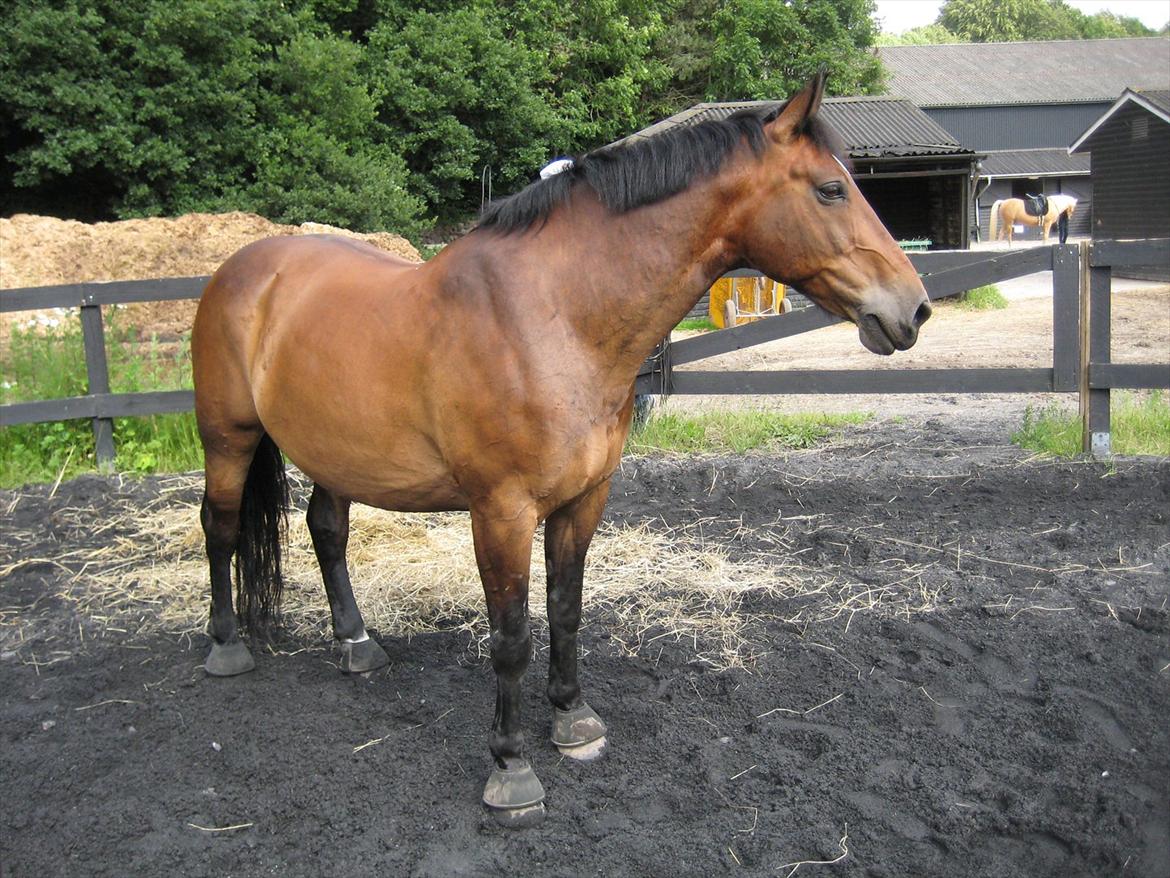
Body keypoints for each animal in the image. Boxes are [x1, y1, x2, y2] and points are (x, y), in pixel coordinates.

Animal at [191, 72, 931, 828]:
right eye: (831, 189)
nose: (914, 308)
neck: (553, 318)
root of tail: (241, 268)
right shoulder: (501, 512)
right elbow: (512, 636)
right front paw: (511, 768)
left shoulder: (584, 498)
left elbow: (568, 609)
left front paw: (573, 719)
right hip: (228, 437)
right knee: (219, 526)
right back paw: (226, 646)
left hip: (337, 452)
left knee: (326, 531)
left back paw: (357, 644)